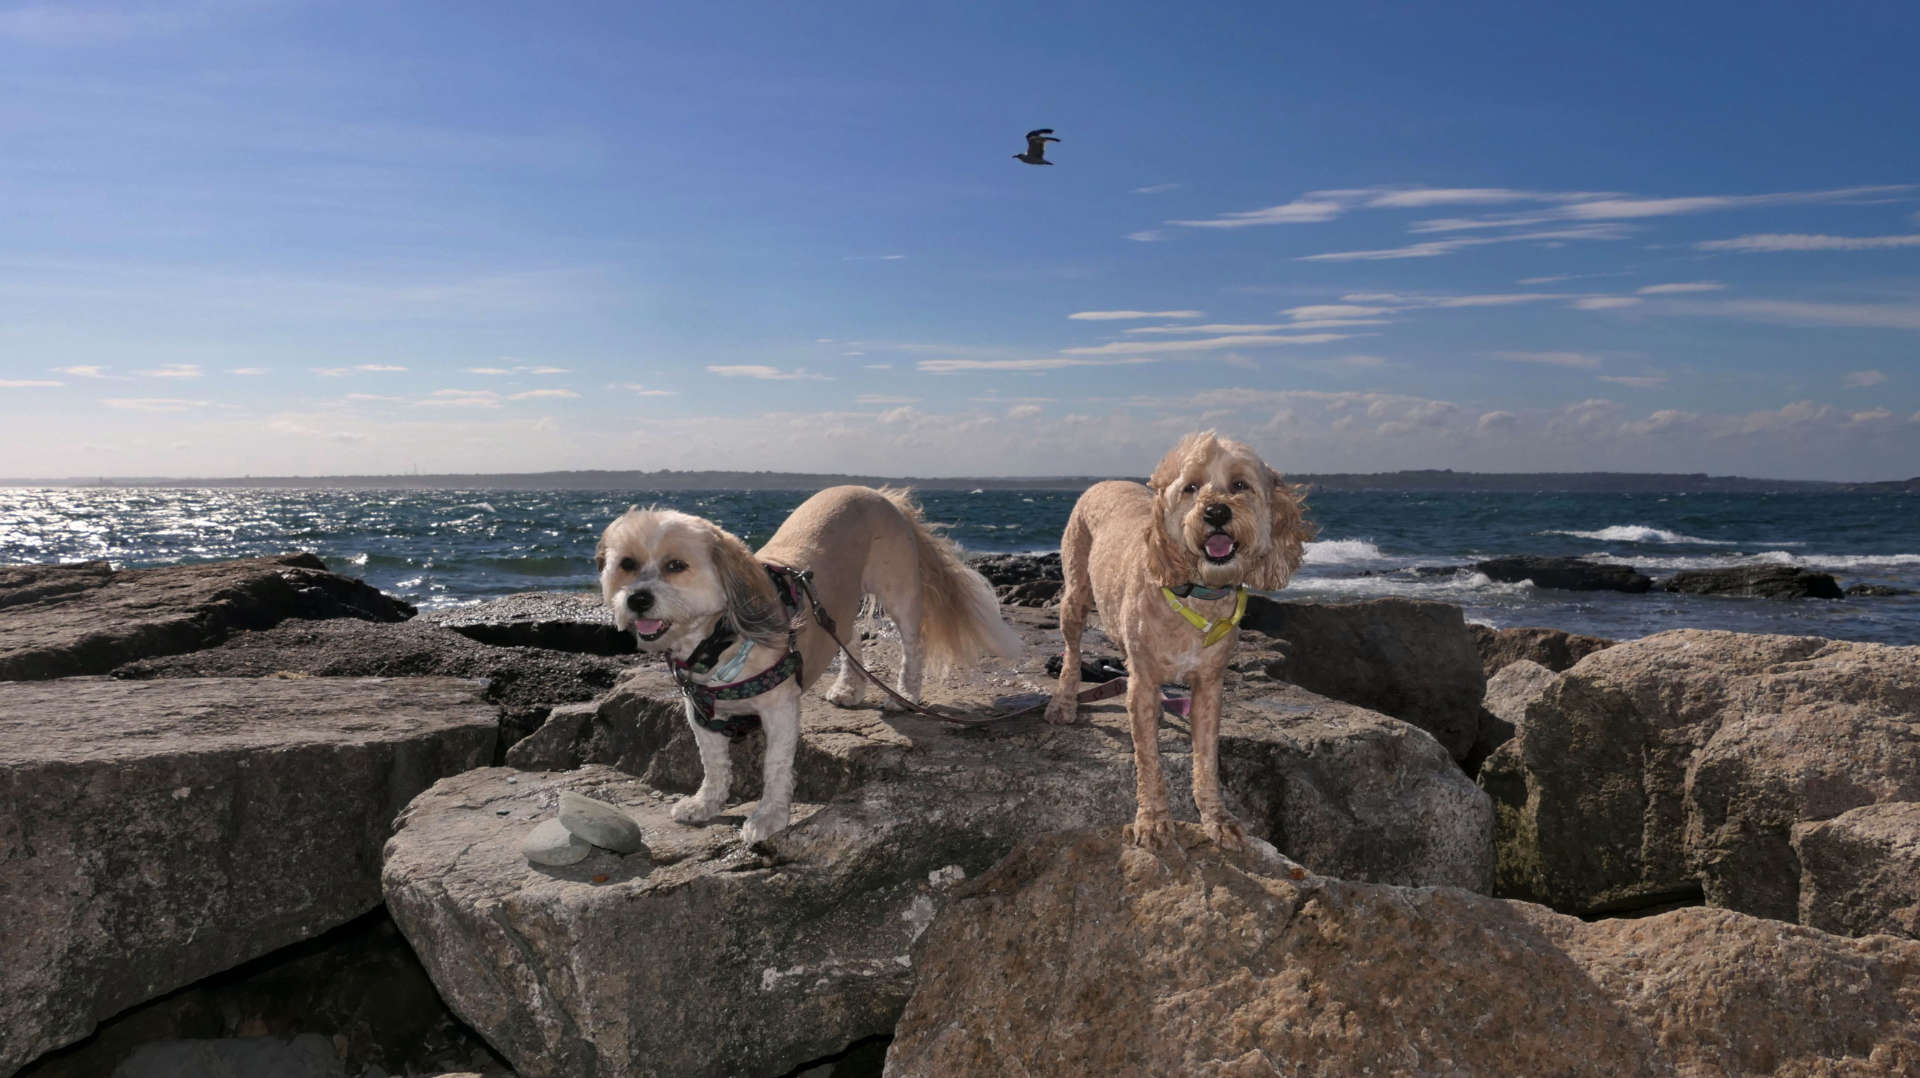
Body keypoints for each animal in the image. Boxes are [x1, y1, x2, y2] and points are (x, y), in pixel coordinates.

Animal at [595, 484, 1021, 845]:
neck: (720, 640)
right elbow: (713, 763)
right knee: (849, 638)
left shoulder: (780, 709)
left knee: (911, 644)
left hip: (899, 590)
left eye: (676, 565)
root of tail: (879, 493)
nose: (637, 599)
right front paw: (705, 803)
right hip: (838, 605)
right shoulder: (699, 712)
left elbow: (775, 766)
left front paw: (767, 818)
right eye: (627, 564)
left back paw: (904, 694)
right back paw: (849, 688)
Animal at [1044, 428, 1313, 849]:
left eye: (1240, 485)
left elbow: (1206, 757)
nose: (1216, 512)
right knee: (1071, 651)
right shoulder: (1145, 682)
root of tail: (1104, 481)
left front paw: (1216, 817)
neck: (1195, 591)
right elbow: (1148, 760)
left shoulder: (1209, 687)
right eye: (1191, 487)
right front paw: (1153, 820)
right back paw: (1064, 702)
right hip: (1074, 592)